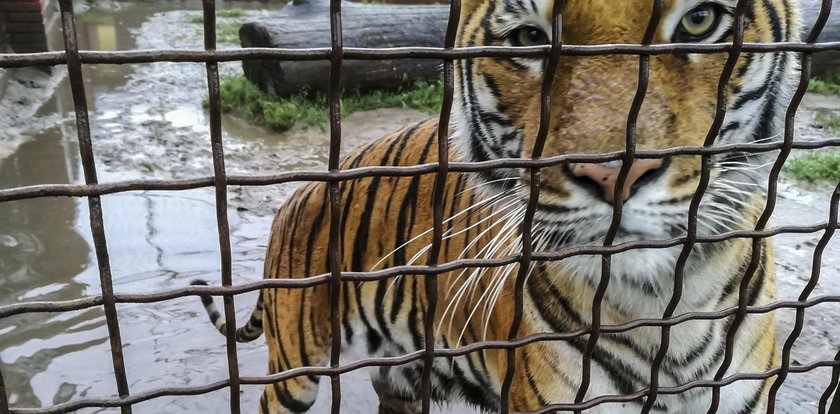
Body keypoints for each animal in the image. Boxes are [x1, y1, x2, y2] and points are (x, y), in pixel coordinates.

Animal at [192, 0, 800, 412]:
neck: (666, 308)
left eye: (699, 20)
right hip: (294, 366)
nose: (614, 171)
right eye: (529, 38)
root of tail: (299, 194)